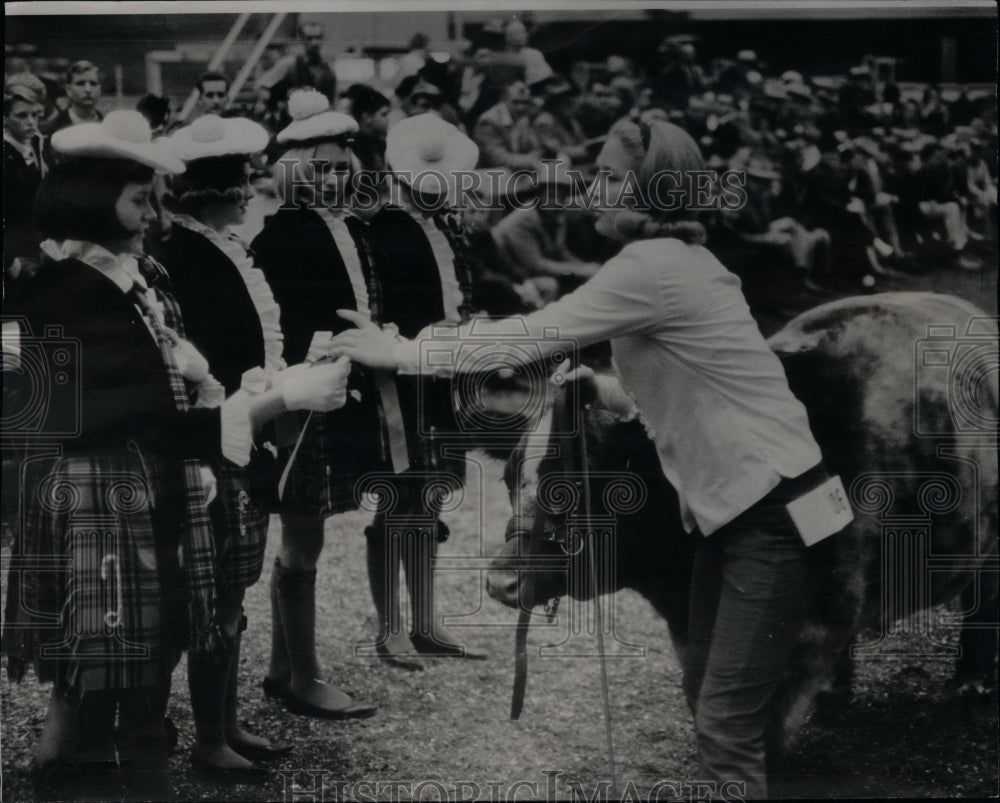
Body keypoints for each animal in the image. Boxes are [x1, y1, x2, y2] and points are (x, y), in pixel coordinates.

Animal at [486, 296, 1000, 752]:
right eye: (508, 480)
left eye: (568, 488)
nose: (501, 583)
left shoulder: (810, 624)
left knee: (982, 599)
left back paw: (972, 685)